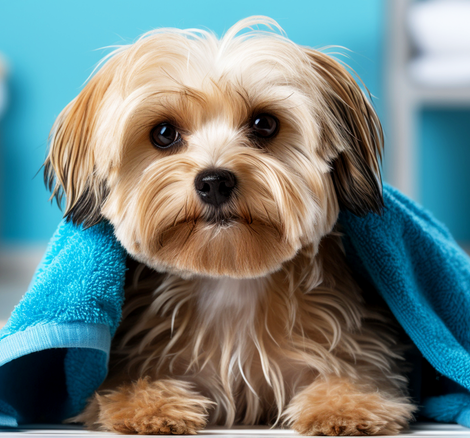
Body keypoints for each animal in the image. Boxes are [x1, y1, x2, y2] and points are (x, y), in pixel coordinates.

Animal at [45, 16, 414, 434]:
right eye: (163, 133)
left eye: (264, 124)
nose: (214, 182)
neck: (230, 282)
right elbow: (128, 386)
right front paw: (152, 407)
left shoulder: (354, 349)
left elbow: (356, 378)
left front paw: (345, 407)